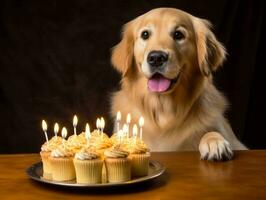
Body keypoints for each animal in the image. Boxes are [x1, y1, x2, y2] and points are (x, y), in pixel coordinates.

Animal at [109, 8, 246, 161]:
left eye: (178, 34)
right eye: (145, 34)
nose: (156, 57)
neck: (164, 110)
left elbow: (210, 132)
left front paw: (215, 142)